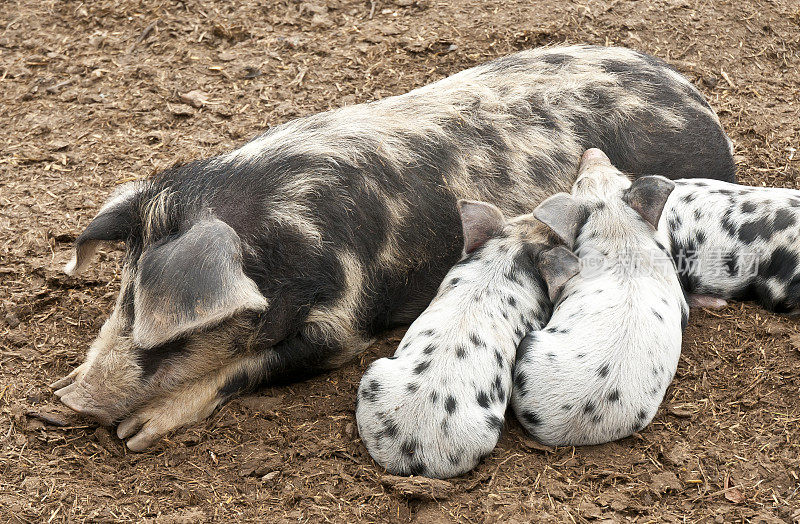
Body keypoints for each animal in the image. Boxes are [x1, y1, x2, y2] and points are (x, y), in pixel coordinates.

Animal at [512, 149, 688, 448]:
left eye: (577, 184)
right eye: (621, 173)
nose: (592, 151)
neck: (619, 236)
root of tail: (575, 428)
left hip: (530, 345)